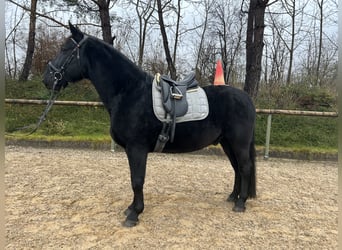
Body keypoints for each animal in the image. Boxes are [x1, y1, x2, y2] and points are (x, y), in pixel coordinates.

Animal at [42, 23, 256, 227]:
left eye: (64, 49)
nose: (46, 79)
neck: (129, 91)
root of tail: (246, 98)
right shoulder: (131, 149)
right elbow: (133, 179)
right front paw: (130, 208)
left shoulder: (137, 148)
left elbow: (137, 180)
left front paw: (134, 215)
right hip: (227, 143)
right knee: (237, 168)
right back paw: (233, 197)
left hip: (238, 143)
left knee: (244, 167)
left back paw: (240, 203)